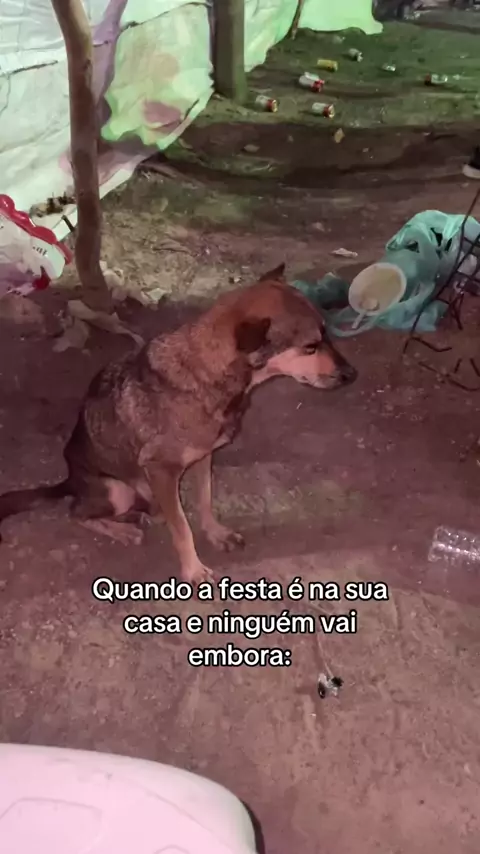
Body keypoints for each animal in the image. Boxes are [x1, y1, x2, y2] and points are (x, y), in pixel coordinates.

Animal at [0, 264, 357, 583]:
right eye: (310, 346)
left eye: (327, 333)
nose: (352, 375)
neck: (210, 375)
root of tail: (69, 480)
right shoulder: (160, 469)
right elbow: (183, 528)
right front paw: (194, 570)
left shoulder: (204, 457)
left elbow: (205, 500)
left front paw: (215, 532)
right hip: (117, 489)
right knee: (76, 512)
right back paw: (122, 529)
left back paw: (140, 516)